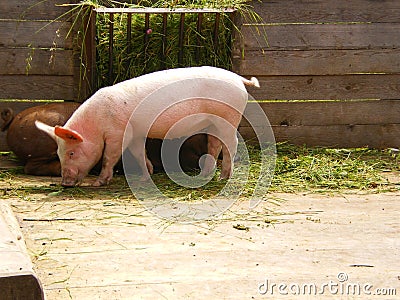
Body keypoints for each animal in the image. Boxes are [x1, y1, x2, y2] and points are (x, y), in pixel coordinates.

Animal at [34, 67, 260, 186]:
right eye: (58, 153)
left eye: (71, 153)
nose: (64, 183)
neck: (97, 122)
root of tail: (238, 78)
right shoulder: (136, 133)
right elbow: (138, 153)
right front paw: (146, 175)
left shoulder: (119, 133)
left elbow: (110, 156)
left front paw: (98, 183)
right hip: (212, 122)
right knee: (215, 144)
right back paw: (205, 175)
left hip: (228, 117)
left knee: (231, 144)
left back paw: (224, 177)